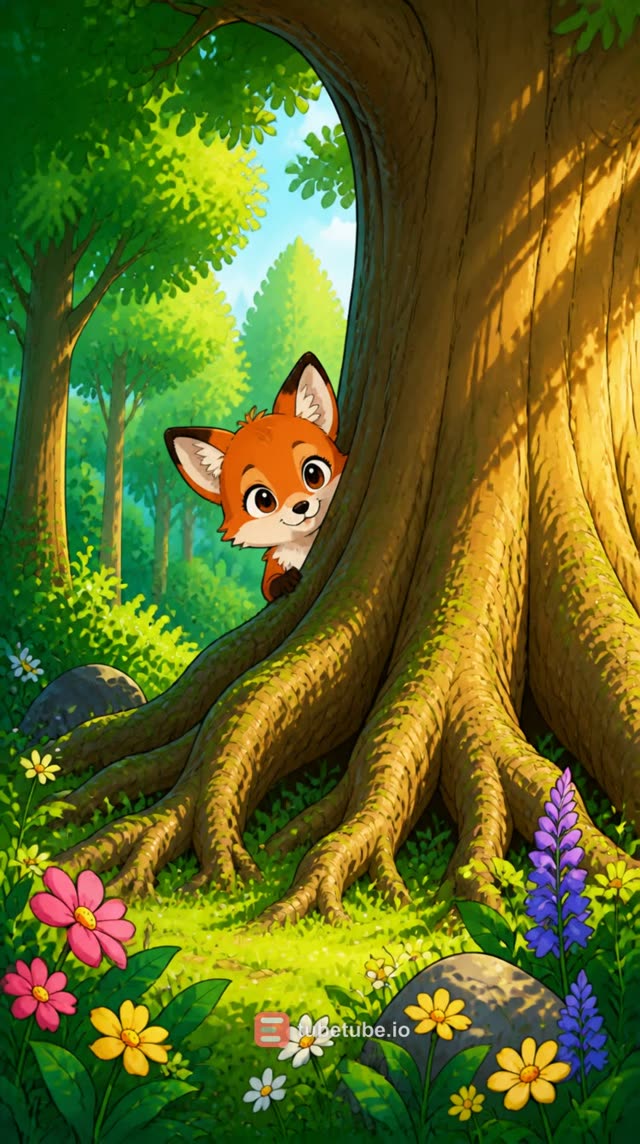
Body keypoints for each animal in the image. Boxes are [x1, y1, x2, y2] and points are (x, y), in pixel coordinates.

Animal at [164, 352, 348, 602]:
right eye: (264, 500)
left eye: (313, 474)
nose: (300, 506)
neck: (304, 543)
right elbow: (268, 585)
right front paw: (284, 581)